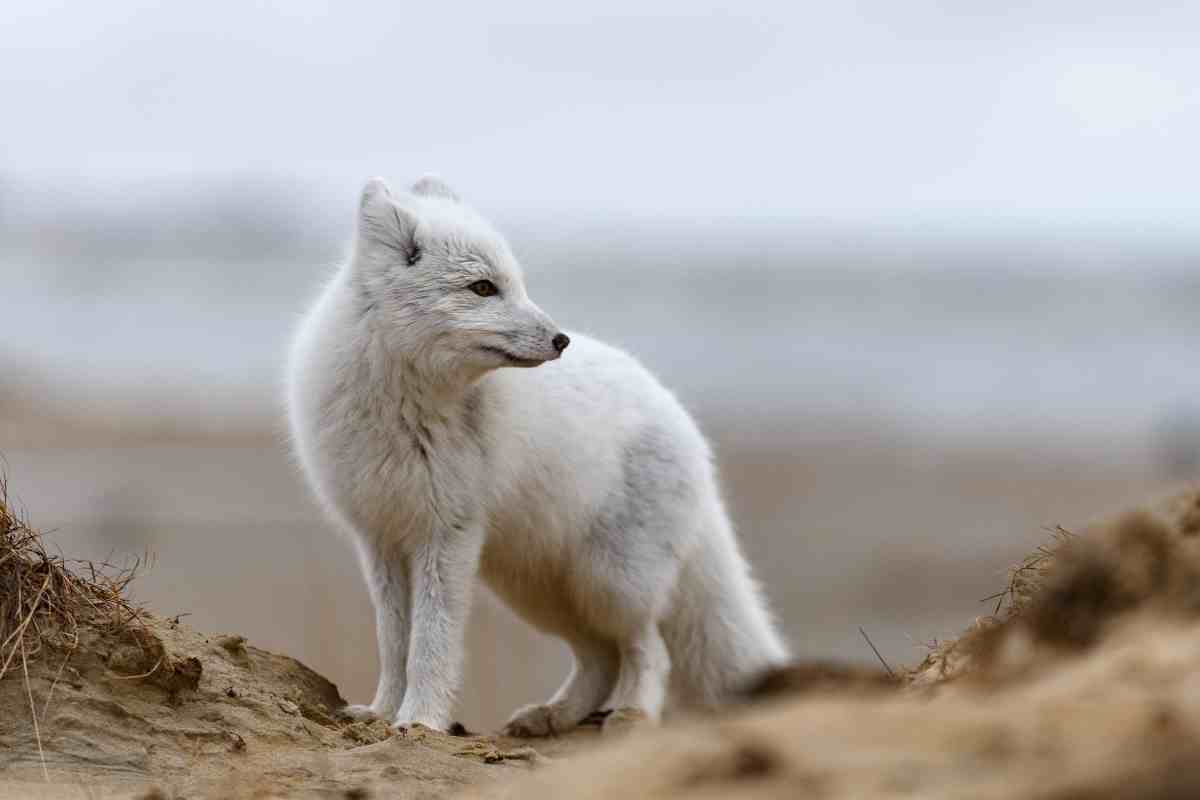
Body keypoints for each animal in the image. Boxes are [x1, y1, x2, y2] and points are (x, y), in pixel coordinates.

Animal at [283, 178, 787, 734]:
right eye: (483, 288)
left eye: (517, 283)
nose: (561, 339)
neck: (400, 402)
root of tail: (687, 426)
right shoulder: (380, 539)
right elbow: (394, 645)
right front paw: (380, 713)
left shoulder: (446, 534)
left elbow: (431, 645)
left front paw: (420, 721)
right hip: (536, 589)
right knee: (598, 657)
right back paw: (552, 716)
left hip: (609, 583)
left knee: (648, 649)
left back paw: (632, 713)